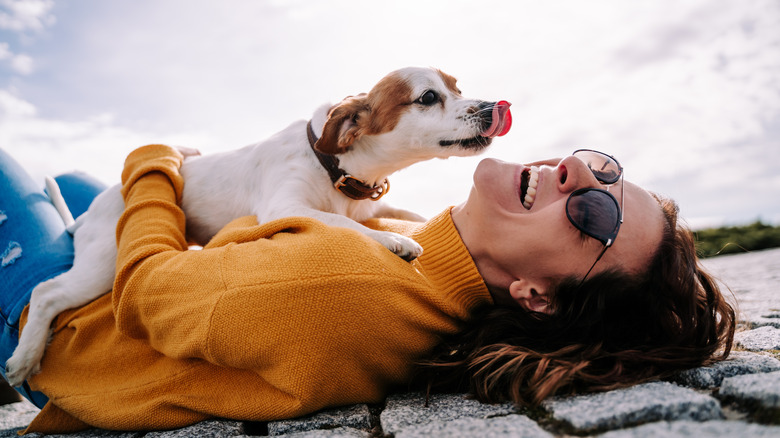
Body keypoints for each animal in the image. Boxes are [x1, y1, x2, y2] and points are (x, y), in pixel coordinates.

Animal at [4, 66, 512, 384]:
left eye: (458, 87)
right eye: (428, 97)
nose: (494, 106)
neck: (336, 167)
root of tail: (90, 212)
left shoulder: (368, 205)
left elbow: (407, 216)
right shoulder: (285, 206)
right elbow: (341, 223)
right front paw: (391, 241)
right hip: (102, 265)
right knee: (44, 293)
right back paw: (24, 358)